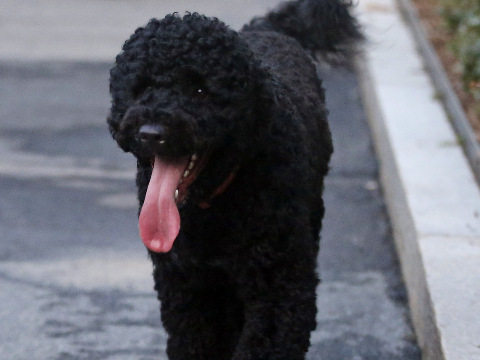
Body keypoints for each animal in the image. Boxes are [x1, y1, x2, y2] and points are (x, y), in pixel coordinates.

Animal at [108, 1, 360, 358]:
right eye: (142, 87)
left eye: (199, 89)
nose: (151, 133)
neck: (213, 205)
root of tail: (268, 30)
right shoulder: (188, 289)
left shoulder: (278, 292)